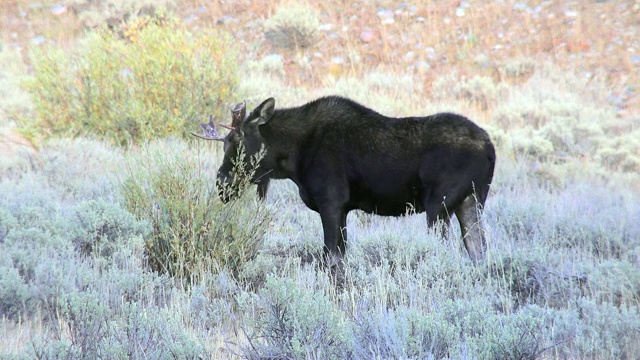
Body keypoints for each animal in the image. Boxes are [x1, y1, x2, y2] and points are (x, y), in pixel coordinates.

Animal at [192, 97, 498, 266]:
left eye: (237, 141)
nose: (222, 183)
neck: (292, 157)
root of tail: (490, 147)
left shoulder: (331, 203)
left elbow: (331, 258)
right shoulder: (343, 210)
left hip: (439, 205)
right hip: (471, 200)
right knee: (479, 251)